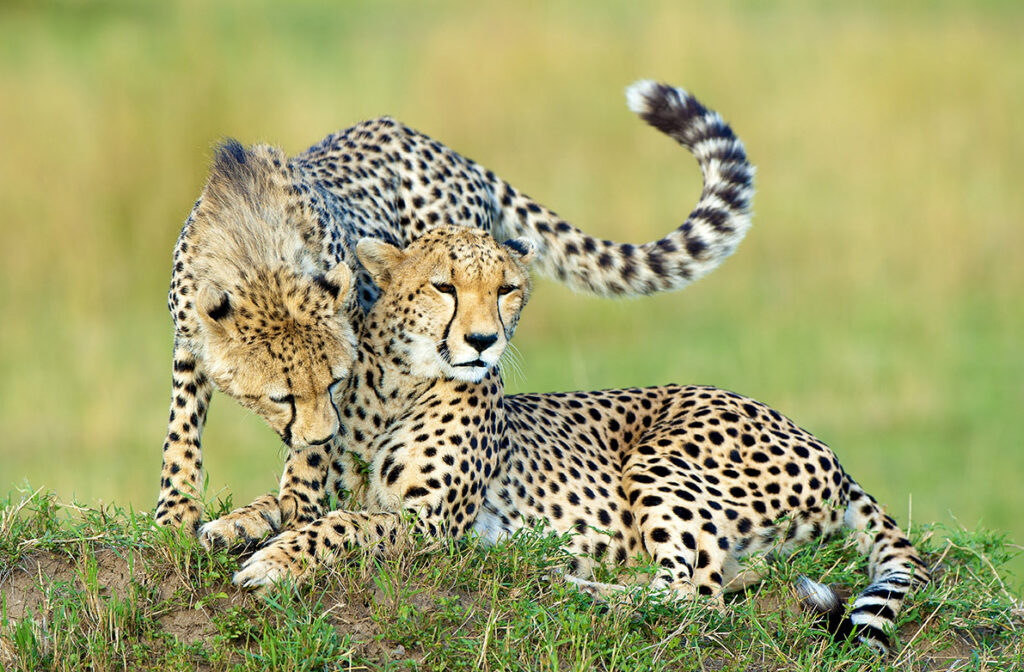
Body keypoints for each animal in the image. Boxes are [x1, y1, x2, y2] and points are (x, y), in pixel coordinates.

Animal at [155, 80, 756, 545]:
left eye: (335, 383)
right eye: (280, 397)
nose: (323, 435)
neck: (260, 260)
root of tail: (448, 151)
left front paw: (299, 506)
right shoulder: (188, 339)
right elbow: (181, 428)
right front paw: (176, 512)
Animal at [233, 225, 930, 655]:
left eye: (507, 288)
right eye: (444, 286)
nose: (484, 341)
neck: (397, 384)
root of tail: (828, 449)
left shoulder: (435, 523)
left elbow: (347, 524)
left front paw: (274, 561)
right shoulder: (330, 485)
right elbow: (290, 504)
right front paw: (231, 527)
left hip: (661, 459)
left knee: (696, 595)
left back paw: (574, 582)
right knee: (731, 577)